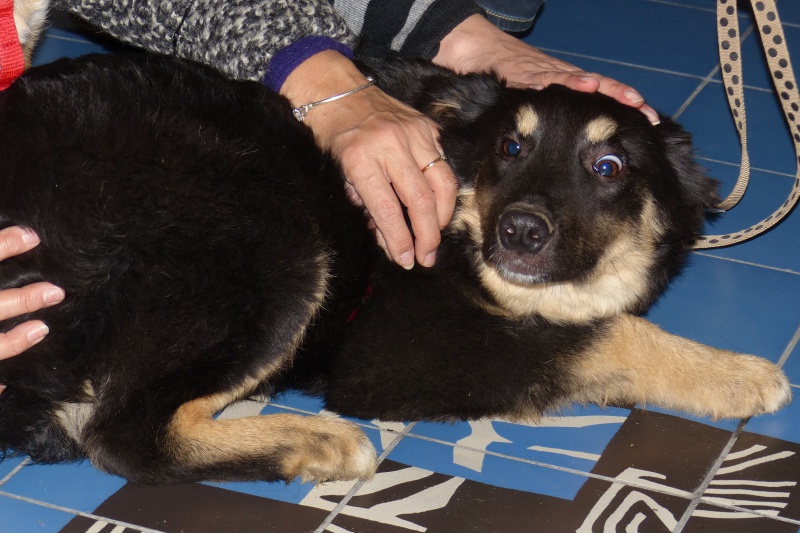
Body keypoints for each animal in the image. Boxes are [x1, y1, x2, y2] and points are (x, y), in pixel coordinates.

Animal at [0, 52, 792, 484]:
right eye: (509, 148)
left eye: (609, 168)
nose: (519, 232)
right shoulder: (398, 348)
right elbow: (607, 334)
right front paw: (735, 372)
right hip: (273, 237)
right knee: (126, 436)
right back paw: (313, 440)